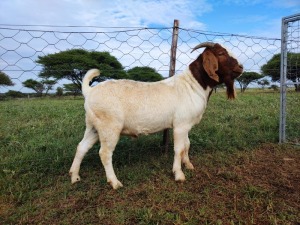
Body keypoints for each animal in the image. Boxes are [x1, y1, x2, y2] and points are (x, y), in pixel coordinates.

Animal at [69, 42, 243, 190]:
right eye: (221, 53)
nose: (241, 67)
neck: (193, 84)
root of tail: (90, 91)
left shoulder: (186, 124)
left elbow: (187, 145)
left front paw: (188, 165)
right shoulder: (180, 126)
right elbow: (179, 148)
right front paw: (179, 174)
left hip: (93, 126)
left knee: (81, 146)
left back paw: (74, 176)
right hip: (109, 126)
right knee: (104, 153)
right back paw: (114, 182)